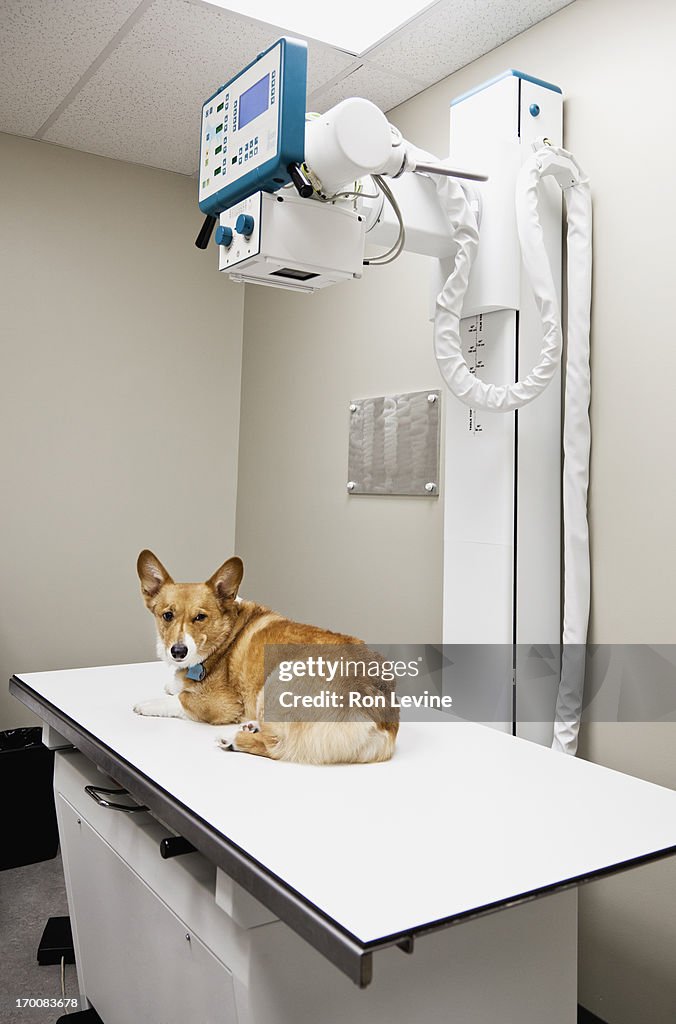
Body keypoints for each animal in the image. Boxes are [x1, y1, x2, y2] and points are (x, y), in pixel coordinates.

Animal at [134, 552, 399, 761]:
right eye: (167, 615)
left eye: (200, 617)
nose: (178, 651)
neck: (225, 634)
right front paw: (173, 683)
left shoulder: (220, 704)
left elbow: (181, 699)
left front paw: (147, 704)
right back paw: (252, 727)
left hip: (276, 680)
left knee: (277, 746)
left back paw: (233, 740)